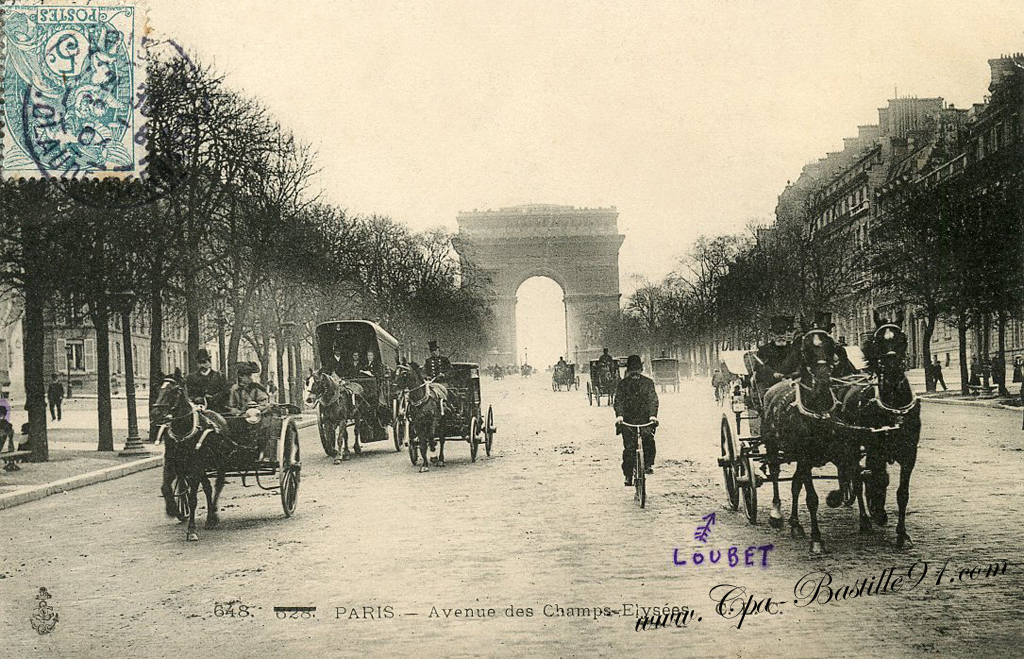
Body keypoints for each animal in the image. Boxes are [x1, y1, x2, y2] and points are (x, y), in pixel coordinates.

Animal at [151, 376, 228, 540]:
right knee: (208, 488)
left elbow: (192, 499)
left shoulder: (195, 468)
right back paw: (209, 518)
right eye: (158, 389)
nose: (155, 413)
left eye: (174, 391)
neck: (182, 430)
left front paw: (191, 530)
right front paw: (172, 509)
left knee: (218, 485)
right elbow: (165, 488)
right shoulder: (171, 463)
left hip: (220, 463)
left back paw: (213, 516)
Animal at [761, 327, 856, 552]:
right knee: (775, 473)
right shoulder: (804, 457)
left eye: (831, 347)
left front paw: (835, 498)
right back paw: (776, 513)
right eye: (805, 349)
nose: (822, 381)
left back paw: (795, 523)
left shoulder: (839, 451)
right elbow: (811, 498)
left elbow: (845, 475)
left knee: (795, 483)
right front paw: (816, 539)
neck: (818, 411)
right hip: (772, 445)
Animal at [835, 311, 925, 548]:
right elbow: (877, 478)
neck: (893, 404)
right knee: (857, 477)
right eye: (878, 341)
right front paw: (877, 512)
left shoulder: (909, 453)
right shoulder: (876, 449)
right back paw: (865, 520)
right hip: (851, 445)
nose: (892, 369)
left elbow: (902, 492)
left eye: (902, 338)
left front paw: (902, 534)